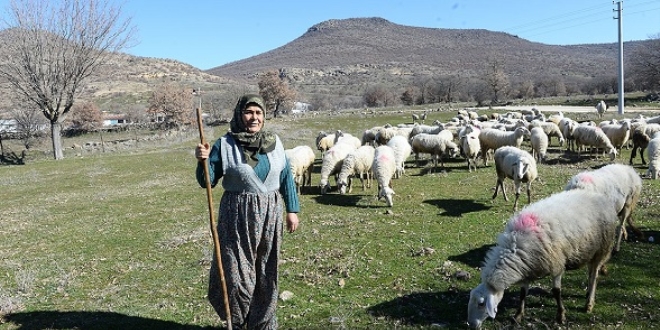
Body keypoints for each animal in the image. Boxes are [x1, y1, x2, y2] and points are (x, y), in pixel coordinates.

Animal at [466, 188, 620, 328]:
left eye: (481, 303)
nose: (471, 325)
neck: (515, 247)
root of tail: (599, 196)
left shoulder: (556, 264)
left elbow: (556, 292)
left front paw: (560, 315)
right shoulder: (526, 267)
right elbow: (523, 293)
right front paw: (518, 315)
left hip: (601, 248)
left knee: (594, 275)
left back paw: (589, 302)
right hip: (590, 249)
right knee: (590, 273)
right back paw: (587, 294)